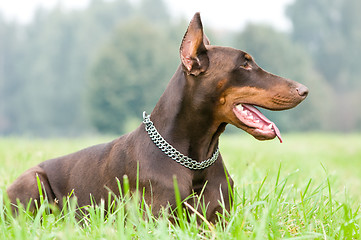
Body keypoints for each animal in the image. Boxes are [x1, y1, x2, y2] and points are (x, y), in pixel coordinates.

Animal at [6, 12, 306, 223]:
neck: (194, 159)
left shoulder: (220, 222)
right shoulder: (156, 221)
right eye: (244, 64)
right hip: (33, 182)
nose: (304, 90)